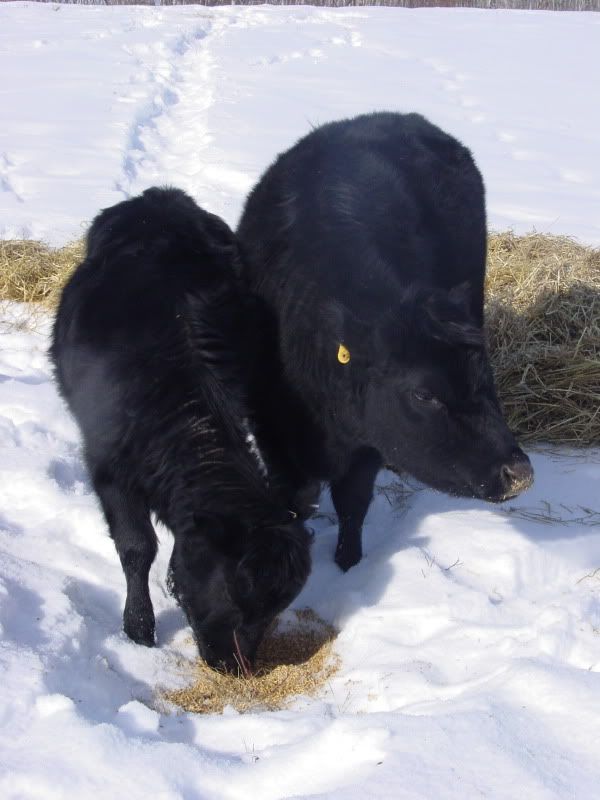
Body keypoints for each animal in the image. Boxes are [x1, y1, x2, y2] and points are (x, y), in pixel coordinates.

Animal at [50, 187, 312, 674]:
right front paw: (138, 629)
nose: (234, 666)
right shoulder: (108, 465)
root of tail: (160, 197)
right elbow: (136, 547)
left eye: (275, 611)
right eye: (235, 592)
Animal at [237, 111, 534, 572]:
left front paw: (348, 565)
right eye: (423, 394)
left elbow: (352, 502)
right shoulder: (273, 428)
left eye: (483, 374)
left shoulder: (367, 440)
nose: (519, 474)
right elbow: (293, 502)